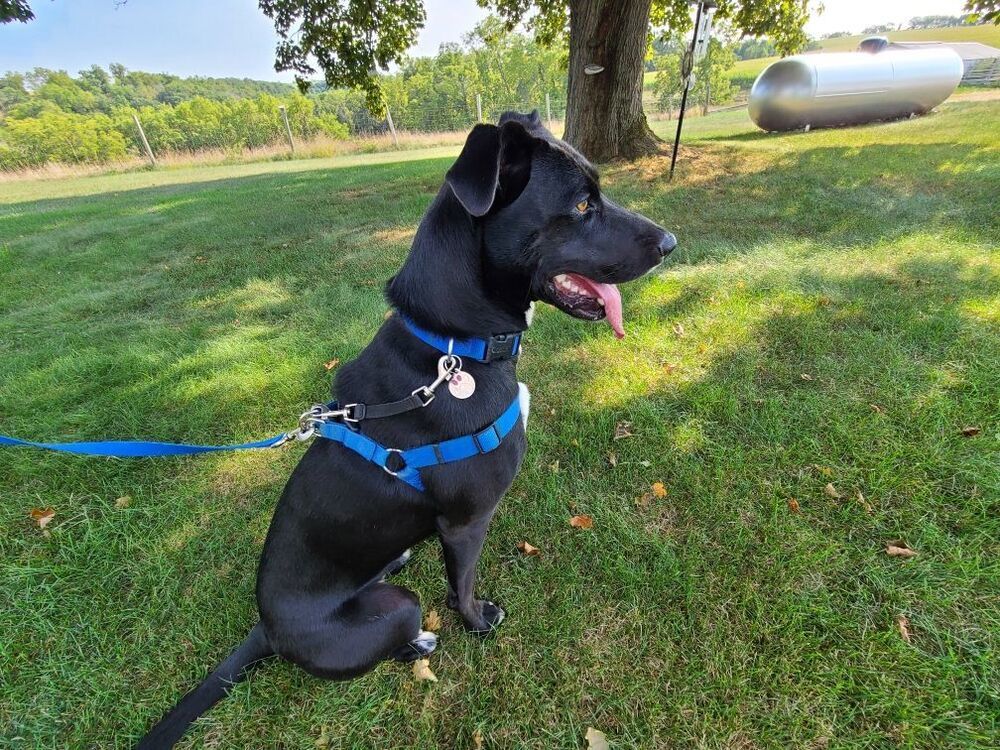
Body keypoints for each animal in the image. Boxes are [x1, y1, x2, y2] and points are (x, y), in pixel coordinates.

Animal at [137, 113, 676, 750]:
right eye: (583, 205)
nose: (671, 244)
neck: (454, 346)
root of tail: (265, 631)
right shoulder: (466, 523)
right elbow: (461, 586)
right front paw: (478, 622)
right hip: (396, 608)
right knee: (402, 631)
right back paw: (420, 639)